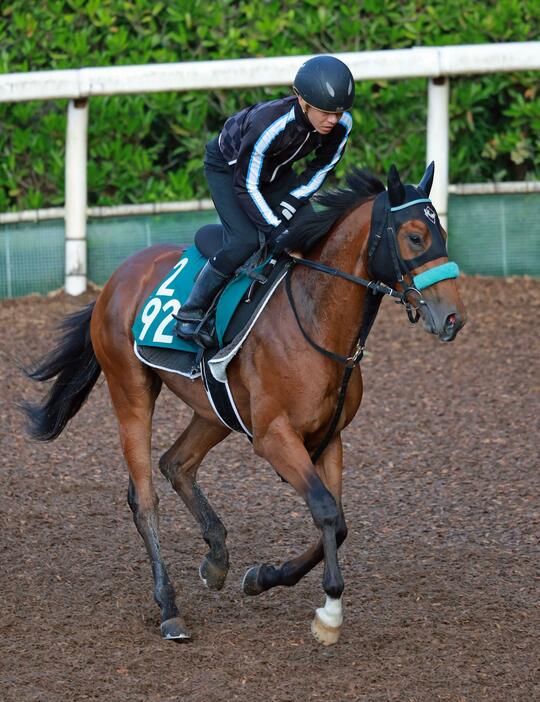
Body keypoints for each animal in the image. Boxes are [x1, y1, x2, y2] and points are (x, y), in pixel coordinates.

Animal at [23, 162, 466, 648]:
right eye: (415, 237)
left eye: (441, 232)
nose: (453, 318)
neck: (315, 321)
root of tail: (117, 279)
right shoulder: (274, 437)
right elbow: (326, 510)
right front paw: (329, 613)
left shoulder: (329, 438)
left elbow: (339, 521)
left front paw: (262, 578)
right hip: (130, 391)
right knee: (144, 498)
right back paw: (170, 609)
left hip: (213, 410)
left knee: (176, 463)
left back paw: (216, 559)